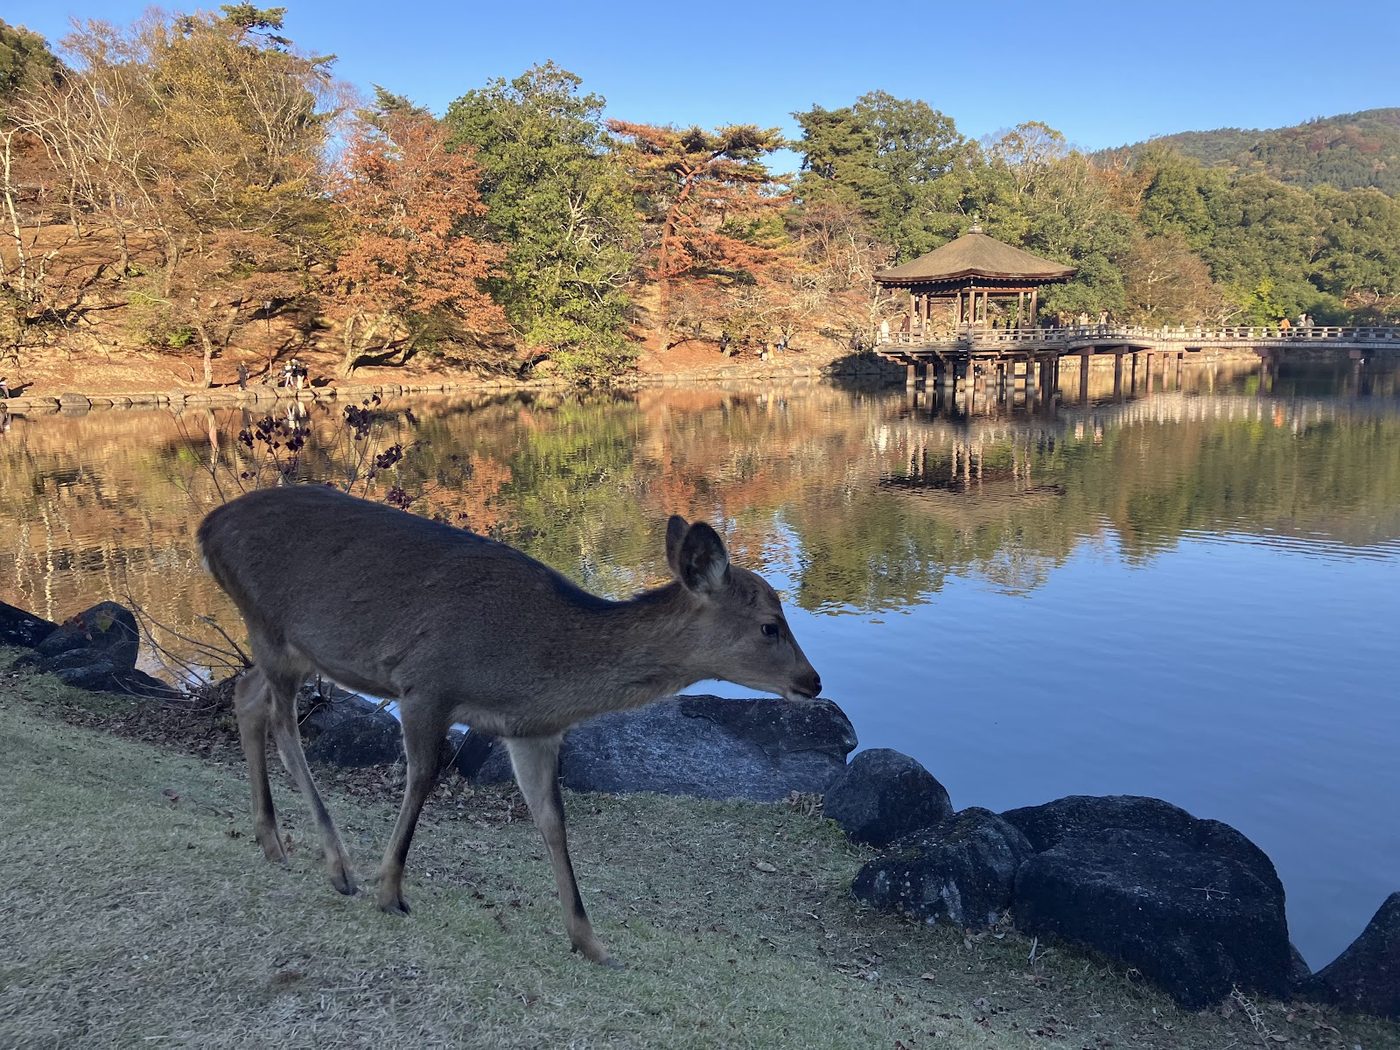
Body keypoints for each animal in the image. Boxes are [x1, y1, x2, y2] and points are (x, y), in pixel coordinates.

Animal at [197, 484, 821, 966]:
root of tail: (207, 528)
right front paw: (390, 891)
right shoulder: (426, 685)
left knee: (246, 696)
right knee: (285, 727)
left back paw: (272, 841)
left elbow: (552, 821)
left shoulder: (532, 731)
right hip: (271, 625)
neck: (531, 669)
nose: (813, 681)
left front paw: (590, 942)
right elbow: (422, 780)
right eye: (770, 626)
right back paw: (337, 866)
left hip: (293, 647)